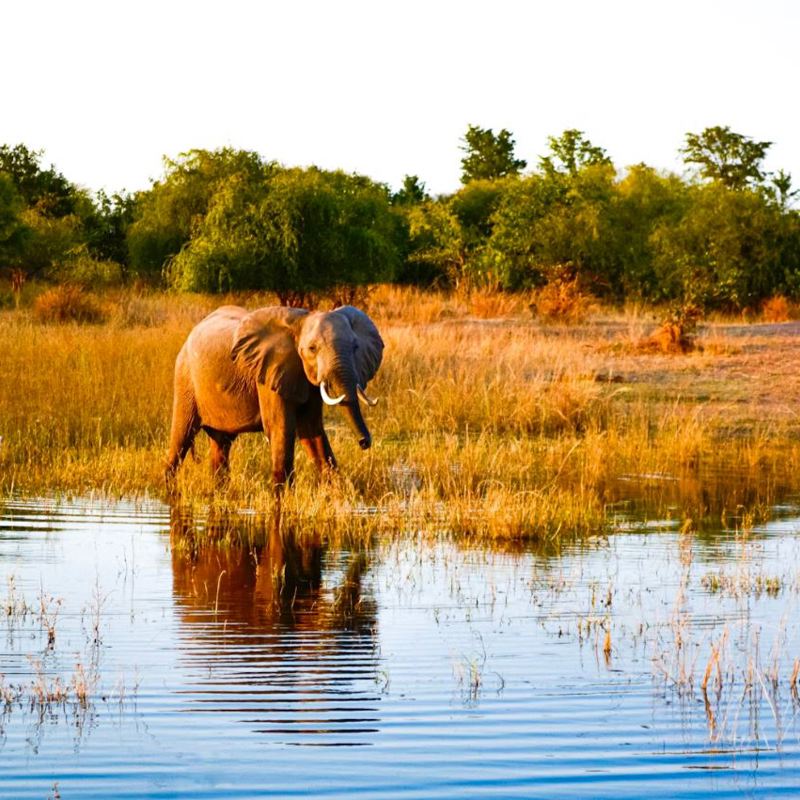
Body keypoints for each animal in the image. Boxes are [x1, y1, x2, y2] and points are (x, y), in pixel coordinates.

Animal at [165, 304, 384, 489]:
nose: (365, 442)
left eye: (356, 348)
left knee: (221, 445)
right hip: (185, 378)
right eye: (312, 349)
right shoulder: (269, 372)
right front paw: (284, 496)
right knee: (181, 439)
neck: (300, 321)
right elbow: (281, 429)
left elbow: (312, 430)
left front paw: (335, 492)